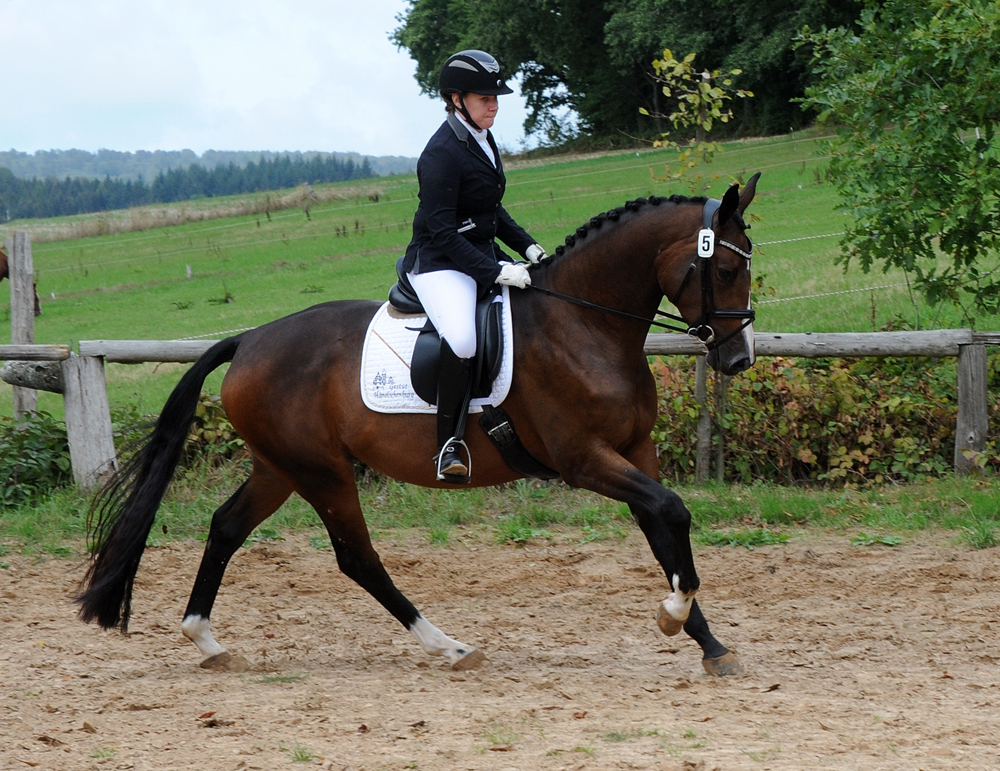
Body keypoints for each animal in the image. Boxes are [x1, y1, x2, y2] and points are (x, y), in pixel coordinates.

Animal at [78, 173, 760, 676]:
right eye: (726, 271)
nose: (738, 359)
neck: (583, 325)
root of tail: (249, 340)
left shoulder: (634, 449)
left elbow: (662, 526)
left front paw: (707, 642)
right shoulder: (583, 459)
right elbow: (672, 511)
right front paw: (673, 613)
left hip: (281, 467)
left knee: (225, 527)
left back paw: (207, 641)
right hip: (322, 472)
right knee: (358, 557)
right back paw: (449, 646)